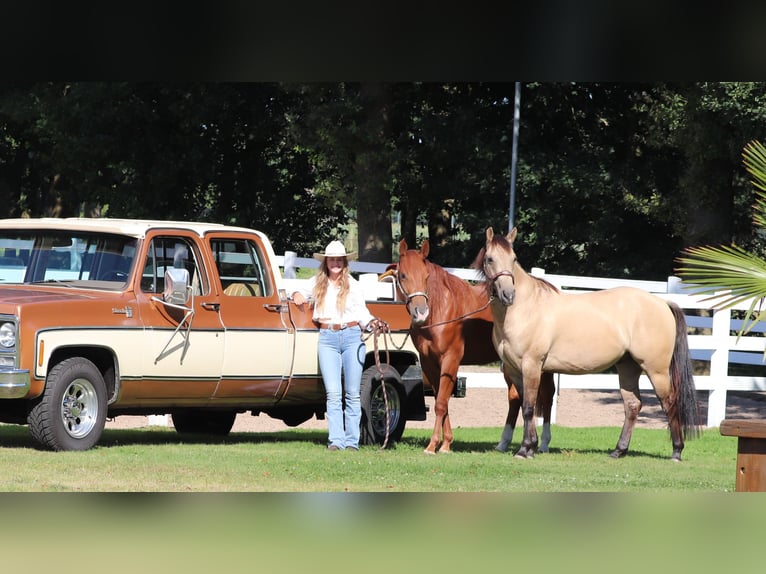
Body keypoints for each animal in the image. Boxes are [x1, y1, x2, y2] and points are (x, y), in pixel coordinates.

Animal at [394, 238, 555, 454]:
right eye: (403, 275)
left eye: (426, 276)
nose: (420, 312)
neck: (442, 310)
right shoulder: (429, 363)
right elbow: (441, 400)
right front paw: (446, 443)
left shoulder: (451, 359)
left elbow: (441, 403)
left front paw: (434, 445)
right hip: (510, 364)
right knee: (515, 397)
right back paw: (504, 443)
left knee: (546, 396)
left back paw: (543, 443)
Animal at [474, 226, 700, 461]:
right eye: (490, 259)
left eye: (514, 258)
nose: (508, 295)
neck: (524, 308)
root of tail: (663, 303)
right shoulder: (514, 370)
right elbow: (523, 406)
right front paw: (530, 447)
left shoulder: (532, 366)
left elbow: (528, 407)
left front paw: (525, 449)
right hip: (628, 367)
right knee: (632, 405)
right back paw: (618, 450)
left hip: (656, 370)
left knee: (670, 403)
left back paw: (676, 451)